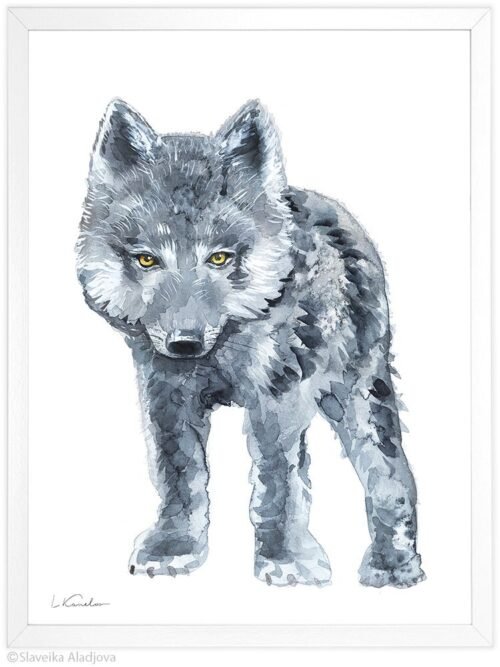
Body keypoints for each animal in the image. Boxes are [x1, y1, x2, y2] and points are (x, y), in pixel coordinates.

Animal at [76, 98, 425, 588]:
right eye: (146, 260)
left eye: (220, 258)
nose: (184, 343)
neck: (222, 348)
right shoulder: (165, 395)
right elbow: (179, 476)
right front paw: (175, 548)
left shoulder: (275, 400)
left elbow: (277, 485)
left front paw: (284, 559)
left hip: (355, 396)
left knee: (390, 476)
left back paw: (394, 565)